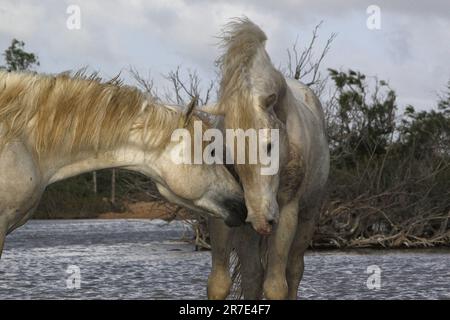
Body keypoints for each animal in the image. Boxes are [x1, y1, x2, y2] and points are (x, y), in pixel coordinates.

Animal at [202, 18, 328, 298]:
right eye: (229, 151)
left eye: (270, 145)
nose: (261, 218)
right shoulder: (226, 213)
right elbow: (219, 283)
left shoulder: (287, 213)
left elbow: (276, 286)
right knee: (253, 275)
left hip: (307, 217)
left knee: (294, 271)